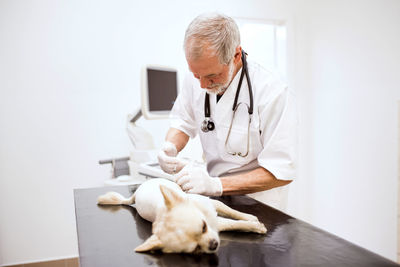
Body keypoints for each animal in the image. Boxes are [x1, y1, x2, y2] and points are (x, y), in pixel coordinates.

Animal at [97, 179, 268, 254]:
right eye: (195, 248)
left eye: (203, 227)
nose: (213, 244)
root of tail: (137, 192)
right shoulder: (218, 222)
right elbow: (233, 223)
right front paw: (255, 225)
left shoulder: (213, 204)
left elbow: (231, 211)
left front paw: (249, 216)